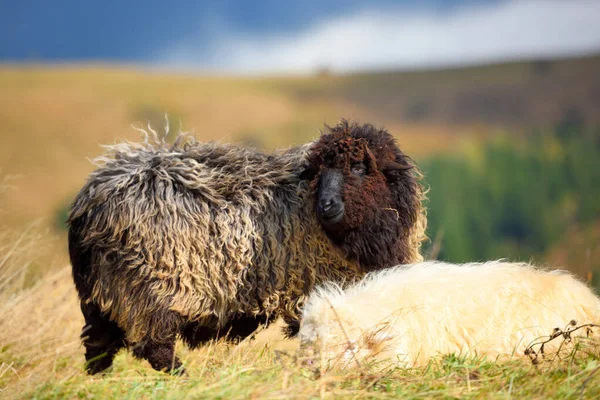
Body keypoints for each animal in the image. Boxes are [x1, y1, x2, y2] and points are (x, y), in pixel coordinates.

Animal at [67, 120, 426, 374]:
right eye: (318, 172)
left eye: (360, 167)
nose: (326, 204)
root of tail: (90, 200)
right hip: (148, 286)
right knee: (154, 347)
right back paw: (186, 379)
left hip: (101, 292)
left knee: (98, 345)